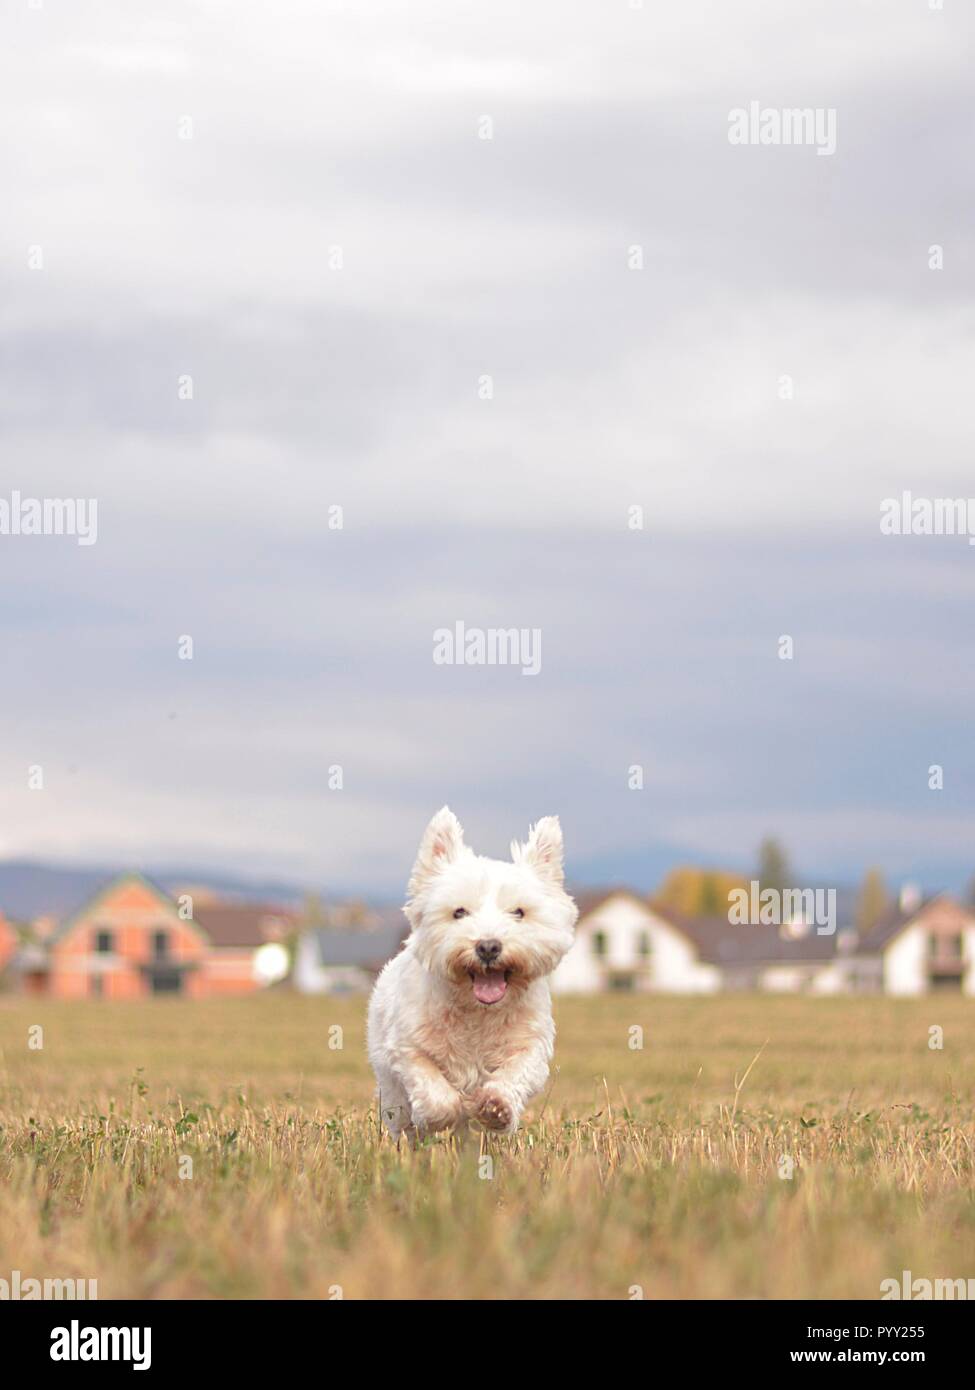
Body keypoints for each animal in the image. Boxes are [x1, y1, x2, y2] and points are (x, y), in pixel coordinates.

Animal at [367, 806, 578, 1139]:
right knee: (403, 1124)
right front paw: (438, 1116)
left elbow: (515, 1073)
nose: (488, 946)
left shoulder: (530, 1045)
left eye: (519, 912)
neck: (478, 1012)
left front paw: (496, 1107)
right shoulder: (406, 1047)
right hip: (391, 1094)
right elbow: (431, 1085)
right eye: (459, 912)